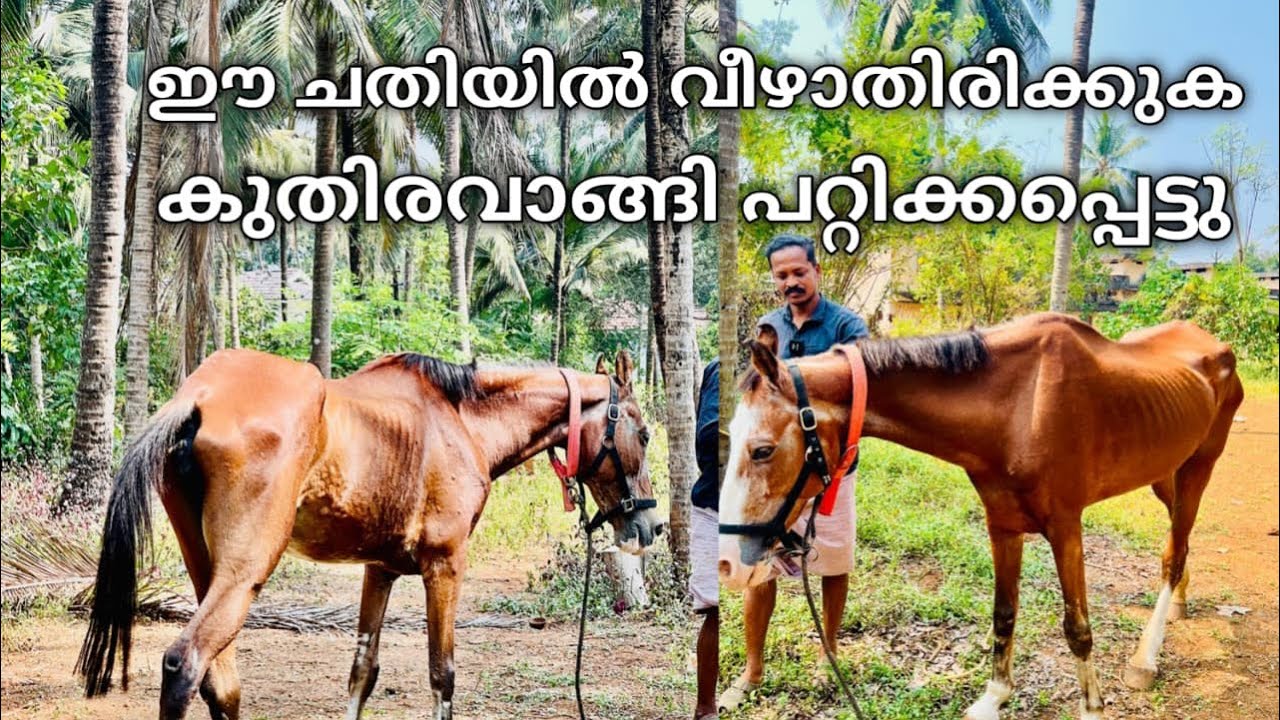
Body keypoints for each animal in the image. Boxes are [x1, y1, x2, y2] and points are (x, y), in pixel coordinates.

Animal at [75, 347, 662, 720]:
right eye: (645, 432)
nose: (651, 524)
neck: (462, 421)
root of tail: (200, 395)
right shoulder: (445, 565)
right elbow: (442, 675)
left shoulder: (378, 571)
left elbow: (364, 671)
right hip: (244, 575)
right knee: (184, 665)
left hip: (208, 574)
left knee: (221, 685)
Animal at [718, 313, 1243, 720]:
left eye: (762, 449)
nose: (728, 565)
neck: (1019, 405)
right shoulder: (1003, 524)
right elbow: (1004, 613)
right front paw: (995, 696)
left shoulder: (1066, 528)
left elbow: (1077, 628)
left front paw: (1092, 706)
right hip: (1166, 473)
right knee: (1178, 543)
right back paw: (1178, 604)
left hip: (1201, 466)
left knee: (1175, 552)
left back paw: (1146, 657)